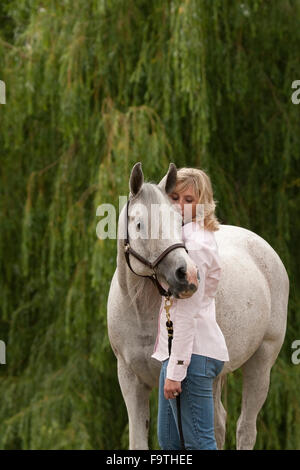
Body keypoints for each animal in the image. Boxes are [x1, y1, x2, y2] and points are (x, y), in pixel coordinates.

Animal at [106, 162, 290, 452]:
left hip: (262, 362)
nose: (187, 275)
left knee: (245, 429)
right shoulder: (130, 379)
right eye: (139, 224)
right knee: (219, 424)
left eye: (177, 221)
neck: (140, 311)